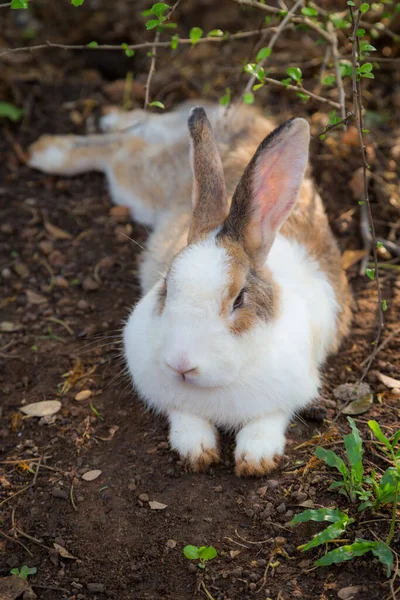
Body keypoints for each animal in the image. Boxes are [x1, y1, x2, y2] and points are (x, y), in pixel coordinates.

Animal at [28, 101, 352, 476]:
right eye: (167, 287)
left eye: (238, 300)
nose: (181, 365)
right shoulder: (164, 392)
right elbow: (185, 418)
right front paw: (197, 451)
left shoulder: (290, 392)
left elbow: (267, 422)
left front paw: (255, 460)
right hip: (140, 184)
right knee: (124, 147)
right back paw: (49, 150)